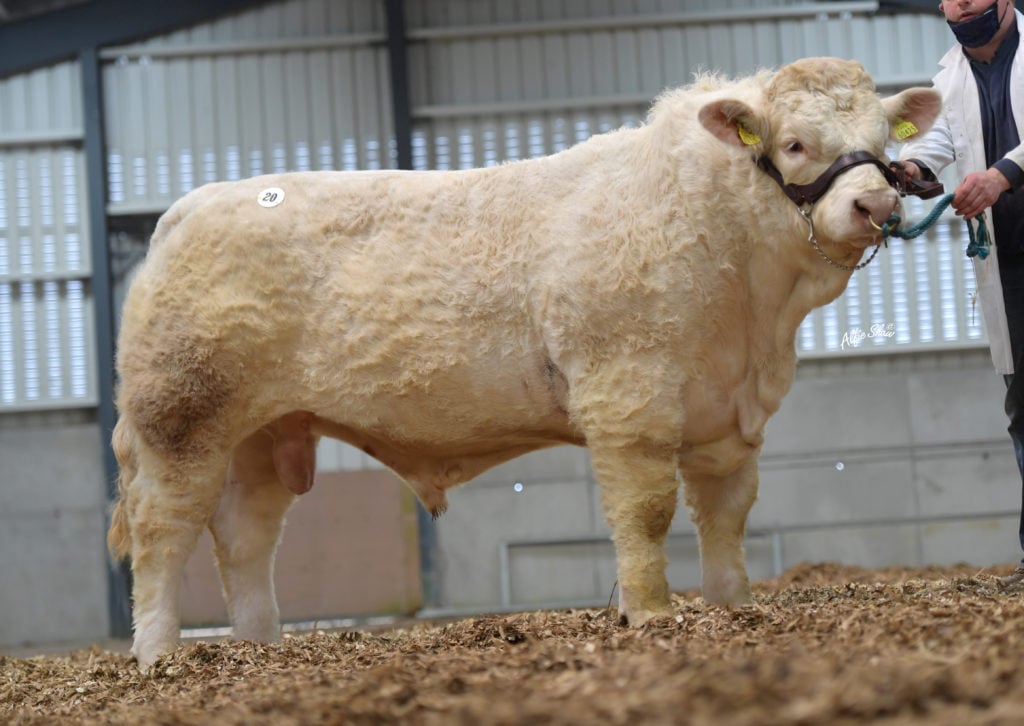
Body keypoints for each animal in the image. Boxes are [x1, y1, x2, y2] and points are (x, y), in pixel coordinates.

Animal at [107, 57, 941, 671]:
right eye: (795, 143)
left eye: (885, 142)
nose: (876, 207)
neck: (751, 309)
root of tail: (187, 209)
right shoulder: (627, 400)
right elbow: (646, 513)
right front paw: (651, 614)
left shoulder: (729, 418)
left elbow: (727, 515)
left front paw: (733, 607)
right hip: (181, 420)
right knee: (162, 533)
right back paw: (158, 655)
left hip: (265, 432)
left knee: (246, 538)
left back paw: (259, 648)